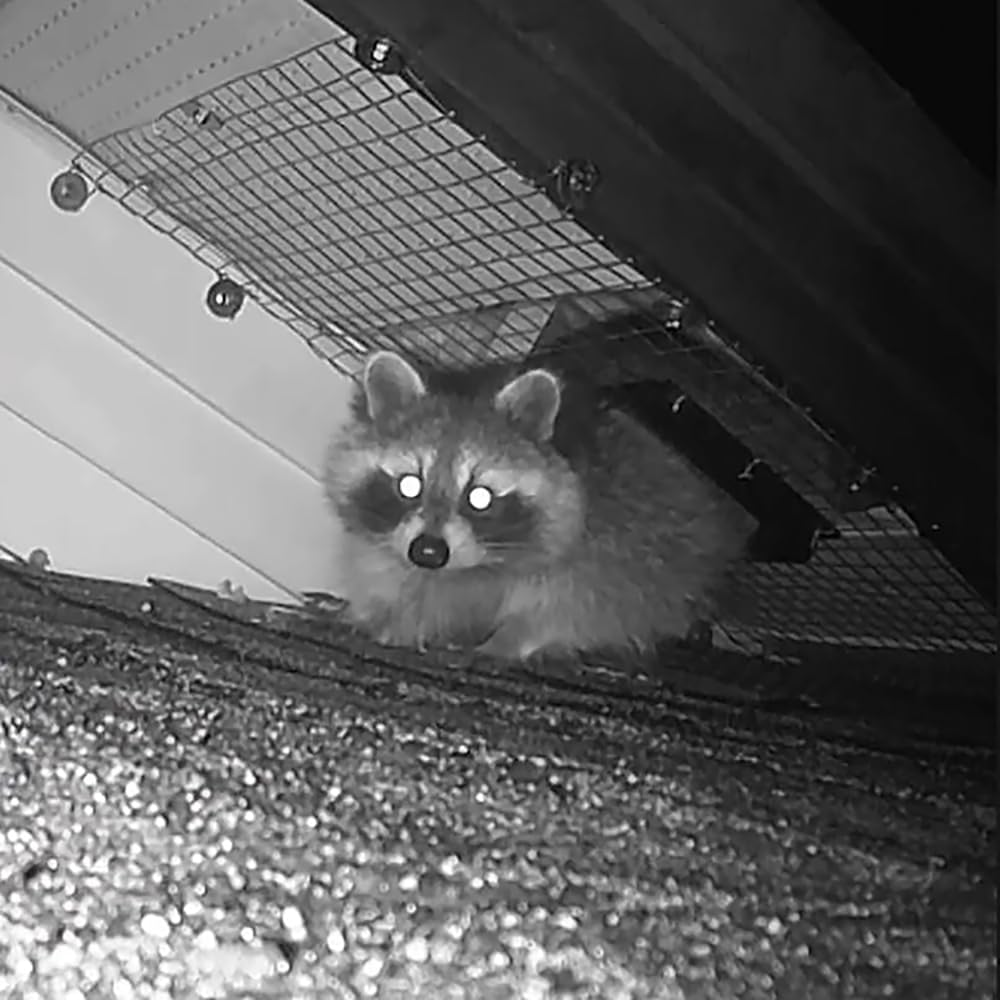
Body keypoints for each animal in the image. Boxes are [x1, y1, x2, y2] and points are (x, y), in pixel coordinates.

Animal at [323, 348, 754, 660]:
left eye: (479, 496)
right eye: (410, 484)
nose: (428, 552)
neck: (478, 565)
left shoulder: (608, 534)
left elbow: (580, 601)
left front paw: (514, 637)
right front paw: (388, 614)